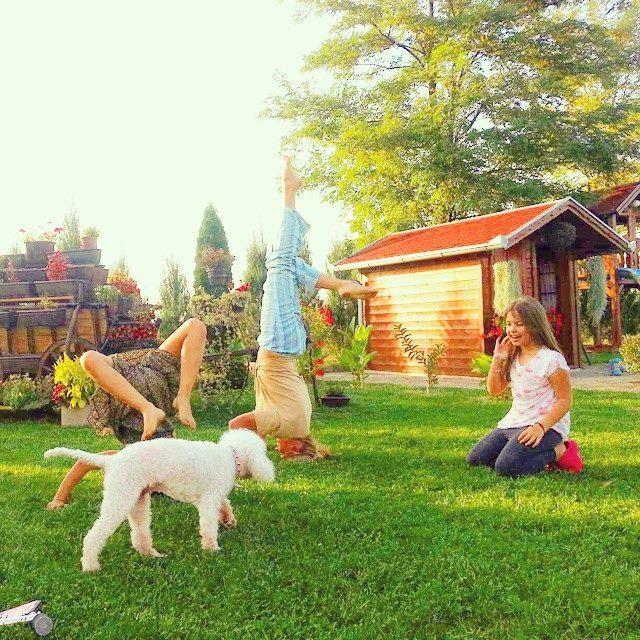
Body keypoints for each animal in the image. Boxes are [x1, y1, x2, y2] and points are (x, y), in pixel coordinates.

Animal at [44, 429, 275, 572]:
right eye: (264, 452)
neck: (231, 455)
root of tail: (112, 460)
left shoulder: (214, 496)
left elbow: (225, 504)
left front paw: (229, 520)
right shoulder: (209, 500)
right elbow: (209, 526)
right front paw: (212, 549)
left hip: (138, 500)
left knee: (139, 535)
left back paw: (151, 555)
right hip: (120, 498)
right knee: (94, 536)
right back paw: (91, 566)